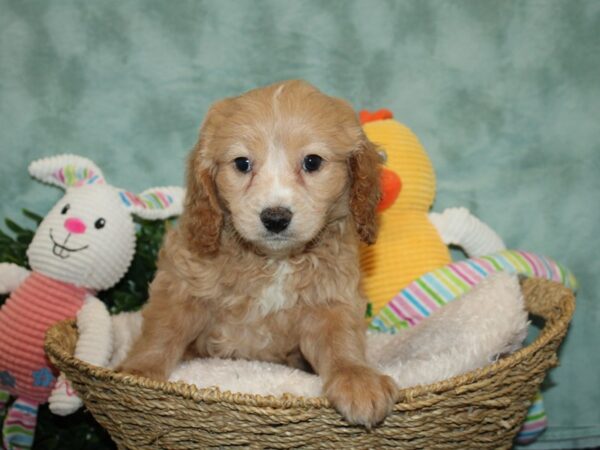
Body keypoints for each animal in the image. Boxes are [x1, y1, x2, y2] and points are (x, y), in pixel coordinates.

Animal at [118, 79, 398, 428]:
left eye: (312, 162)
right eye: (242, 164)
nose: (275, 217)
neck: (273, 261)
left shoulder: (331, 300)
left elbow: (340, 340)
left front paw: (358, 379)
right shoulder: (182, 282)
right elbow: (162, 330)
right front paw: (137, 372)